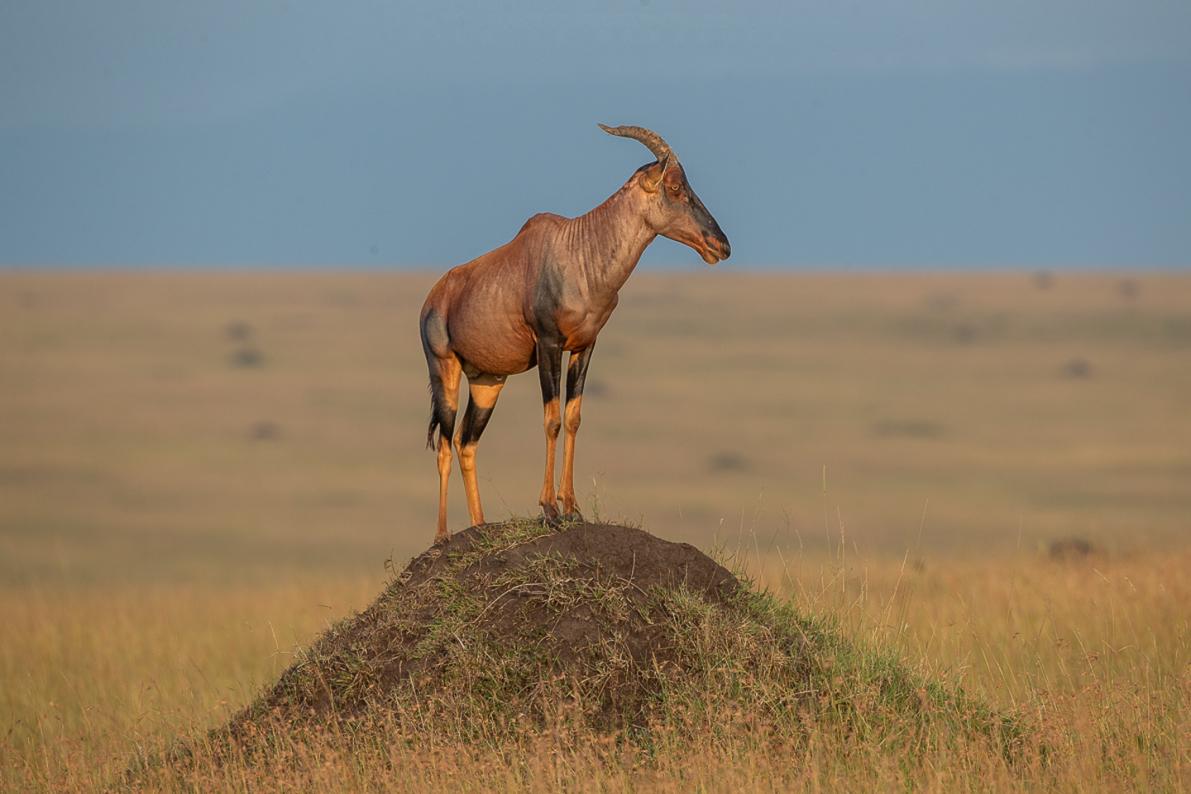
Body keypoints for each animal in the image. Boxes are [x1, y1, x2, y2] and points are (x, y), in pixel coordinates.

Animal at [419, 124, 730, 542]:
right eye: (676, 187)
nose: (721, 246)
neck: (578, 250)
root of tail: (435, 296)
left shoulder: (585, 346)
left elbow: (573, 418)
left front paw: (572, 509)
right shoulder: (548, 344)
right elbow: (551, 419)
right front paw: (549, 509)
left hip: (488, 381)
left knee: (466, 442)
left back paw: (480, 525)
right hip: (444, 369)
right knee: (444, 442)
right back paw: (441, 536)